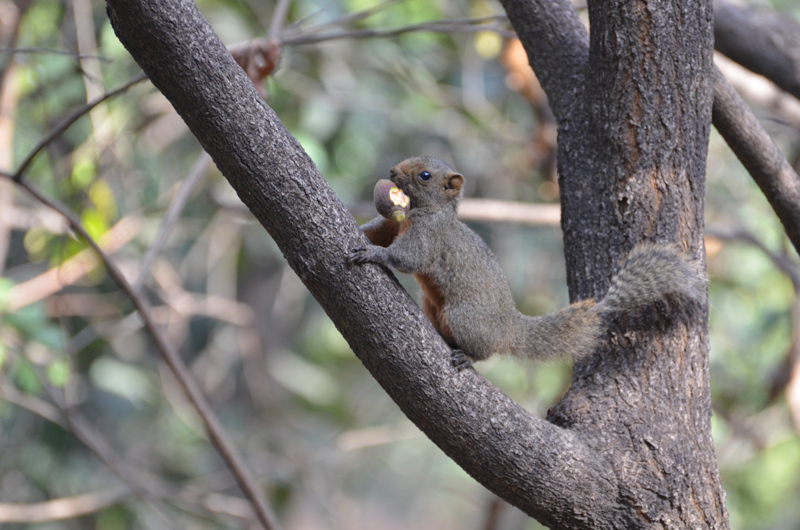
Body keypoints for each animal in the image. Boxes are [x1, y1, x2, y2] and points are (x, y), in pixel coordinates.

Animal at [350, 157, 708, 368]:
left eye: (424, 175)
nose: (392, 172)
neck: (422, 211)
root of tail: (511, 327)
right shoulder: (393, 225)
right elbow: (377, 231)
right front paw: (361, 234)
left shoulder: (429, 237)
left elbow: (408, 257)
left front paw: (374, 255)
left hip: (464, 316)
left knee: (486, 350)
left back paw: (467, 357)